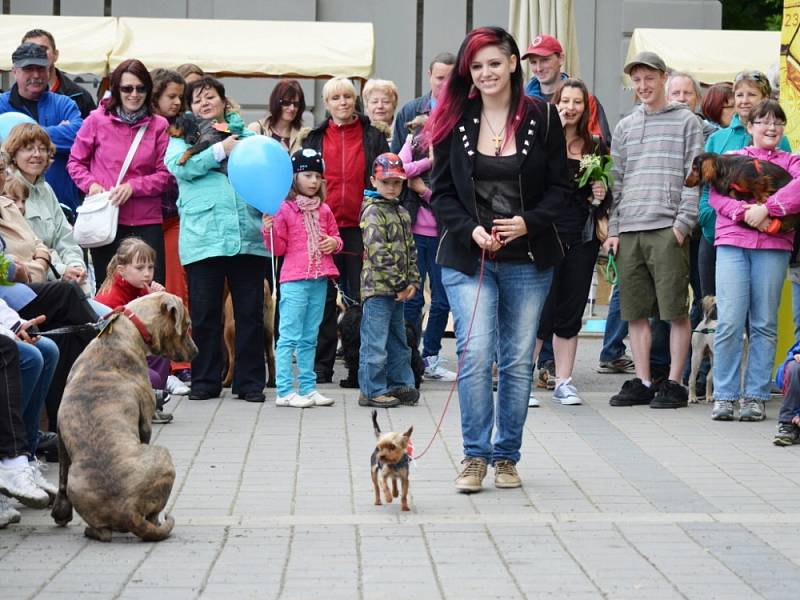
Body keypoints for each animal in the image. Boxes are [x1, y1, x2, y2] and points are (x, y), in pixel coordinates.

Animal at [51, 292, 197, 540]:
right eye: (186, 325)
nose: (195, 351)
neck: (129, 329)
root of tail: (128, 509)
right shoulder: (145, 420)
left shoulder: (61, 434)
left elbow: (61, 473)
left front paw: (61, 513)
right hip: (163, 455)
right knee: (151, 517)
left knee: (102, 532)